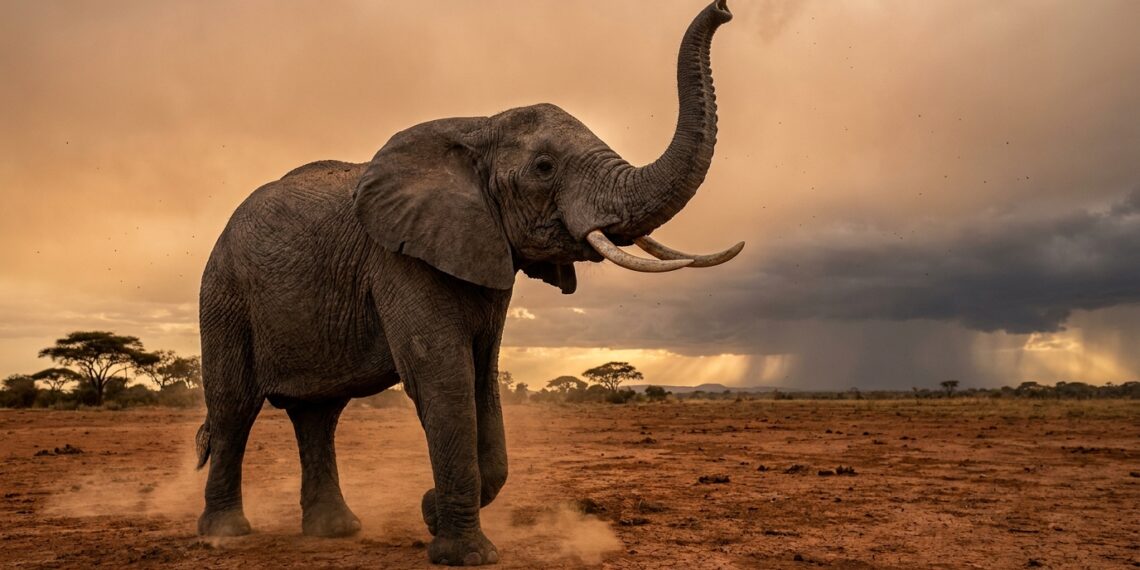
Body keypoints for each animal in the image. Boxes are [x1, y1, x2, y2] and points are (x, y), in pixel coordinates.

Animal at [194, 0, 740, 565]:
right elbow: (445, 377)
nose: (723, 9)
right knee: (235, 406)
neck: (479, 125)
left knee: (319, 414)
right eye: (544, 167)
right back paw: (226, 534)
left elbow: (483, 378)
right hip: (224, 292)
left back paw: (335, 532)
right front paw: (463, 553)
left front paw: (431, 512)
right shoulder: (397, 258)